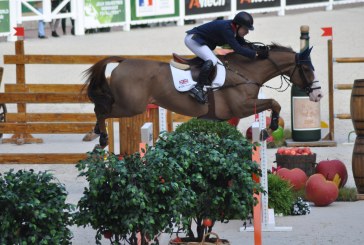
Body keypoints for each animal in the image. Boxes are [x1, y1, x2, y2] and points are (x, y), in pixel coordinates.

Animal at [84, 43, 322, 147]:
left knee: (102, 108)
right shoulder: (241, 106)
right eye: (307, 69)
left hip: (128, 104)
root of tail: (123, 61)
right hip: (131, 106)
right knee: (101, 110)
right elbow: (274, 103)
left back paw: (96, 132)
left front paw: (265, 130)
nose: (317, 95)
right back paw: (101, 137)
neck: (246, 72)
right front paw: (268, 129)